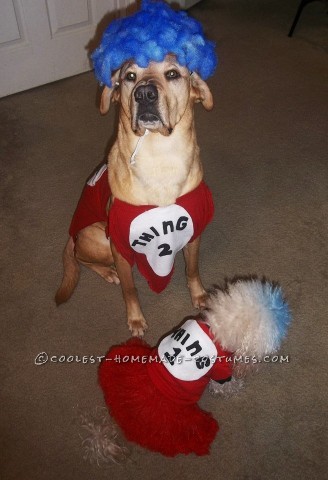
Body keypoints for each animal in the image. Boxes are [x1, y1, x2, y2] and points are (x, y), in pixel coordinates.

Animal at [56, 54, 214, 336]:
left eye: (172, 74)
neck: (160, 159)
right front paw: (136, 319)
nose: (145, 94)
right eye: (130, 76)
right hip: (100, 240)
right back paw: (108, 273)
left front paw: (198, 295)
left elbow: (193, 269)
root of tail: (71, 235)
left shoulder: (193, 230)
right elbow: (130, 289)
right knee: (79, 257)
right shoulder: (118, 245)